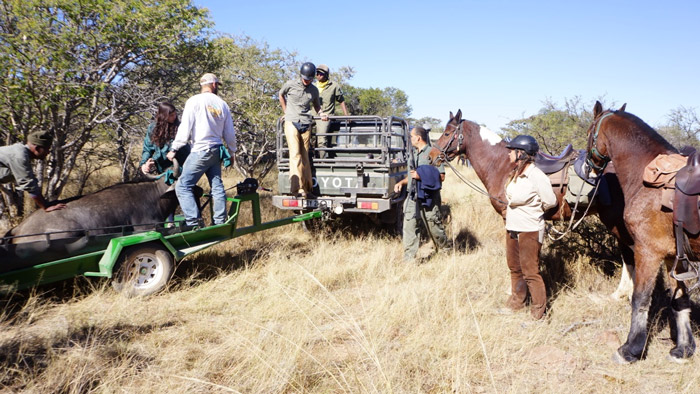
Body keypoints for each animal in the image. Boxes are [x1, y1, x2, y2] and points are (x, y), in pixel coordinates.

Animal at [434, 107, 636, 298]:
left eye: (447, 133)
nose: (432, 156)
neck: (503, 166)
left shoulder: (509, 217)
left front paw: (514, 289)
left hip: (615, 220)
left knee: (628, 252)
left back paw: (624, 292)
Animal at [584, 101, 696, 364]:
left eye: (589, 132)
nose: (589, 167)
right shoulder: (674, 258)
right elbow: (680, 300)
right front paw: (683, 349)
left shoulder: (648, 252)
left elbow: (640, 299)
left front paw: (630, 349)